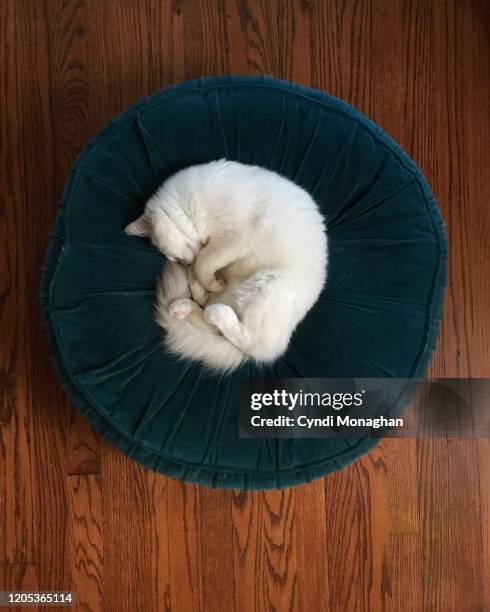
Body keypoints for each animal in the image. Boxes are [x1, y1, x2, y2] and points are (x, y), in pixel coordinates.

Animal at [124, 160, 328, 370]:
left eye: (174, 259)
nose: (183, 262)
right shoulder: (206, 250)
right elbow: (196, 271)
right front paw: (204, 290)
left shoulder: (231, 239)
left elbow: (202, 264)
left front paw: (211, 283)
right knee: (214, 325)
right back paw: (184, 307)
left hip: (269, 286)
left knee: (251, 342)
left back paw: (217, 313)